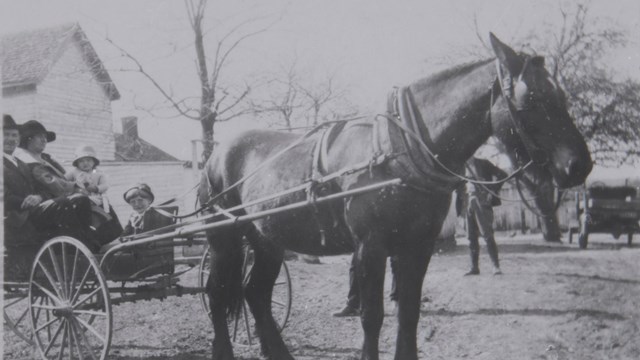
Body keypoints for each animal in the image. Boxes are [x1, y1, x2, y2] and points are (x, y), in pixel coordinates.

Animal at [199, 32, 592, 358]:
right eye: (534, 98)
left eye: (560, 96)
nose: (580, 165)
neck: (399, 150)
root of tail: (215, 155)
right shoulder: (371, 247)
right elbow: (372, 317)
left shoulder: (416, 246)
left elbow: (409, 313)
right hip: (225, 240)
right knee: (217, 294)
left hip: (267, 241)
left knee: (256, 294)